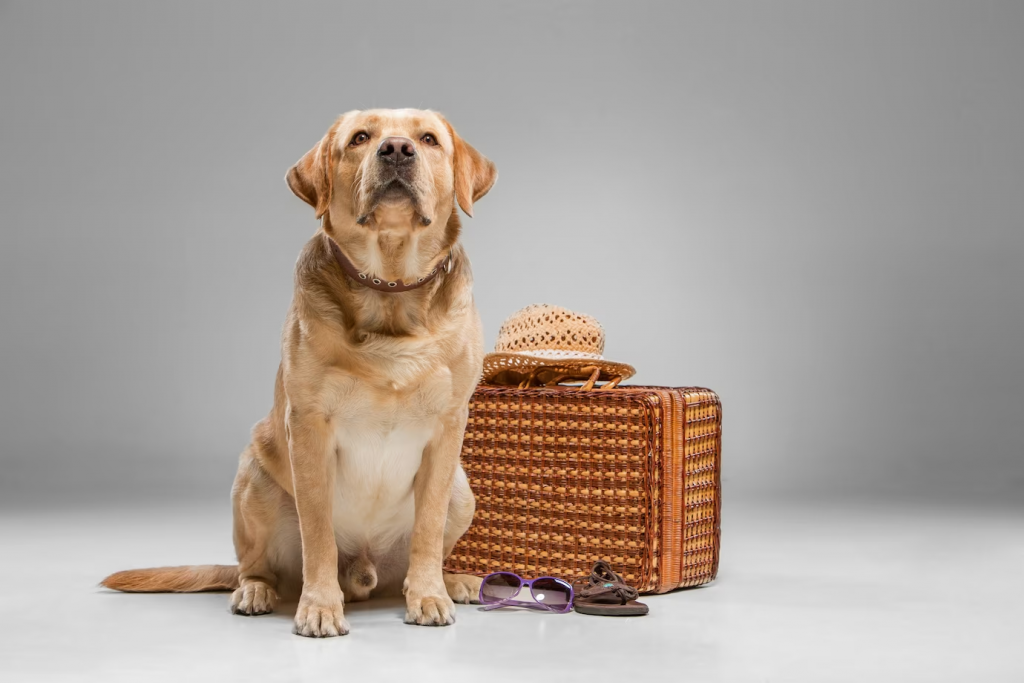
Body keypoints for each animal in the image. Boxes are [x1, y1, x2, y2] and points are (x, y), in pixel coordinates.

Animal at [102, 109, 495, 638]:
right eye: (360, 138)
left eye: (429, 139)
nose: (396, 150)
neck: (390, 291)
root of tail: (367, 572)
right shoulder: (308, 427)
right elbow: (318, 535)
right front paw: (320, 606)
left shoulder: (448, 427)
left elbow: (428, 530)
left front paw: (430, 595)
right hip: (254, 480)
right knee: (256, 566)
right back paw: (256, 591)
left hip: (462, 490)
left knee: (417, 558)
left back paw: (451, 582)